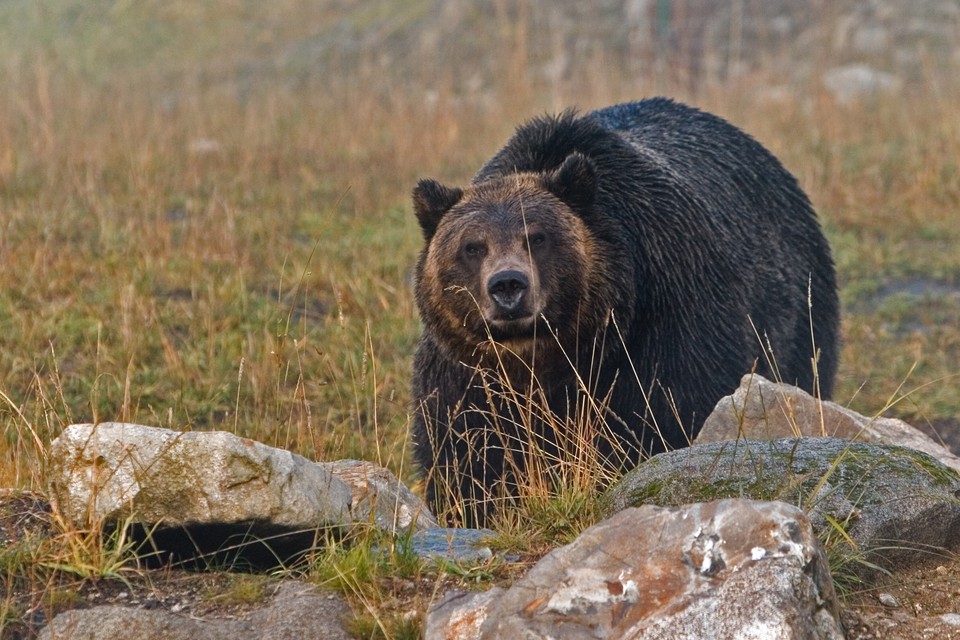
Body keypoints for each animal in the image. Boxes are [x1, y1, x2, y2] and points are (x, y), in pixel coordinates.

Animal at [412, 96, 840, 524]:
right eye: (472, 246)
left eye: (537, 237)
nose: (508, 285)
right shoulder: (466, 370)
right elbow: (467, 446)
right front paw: (480, 506)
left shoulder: (666, 322)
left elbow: (661, 416)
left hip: (798, 315)